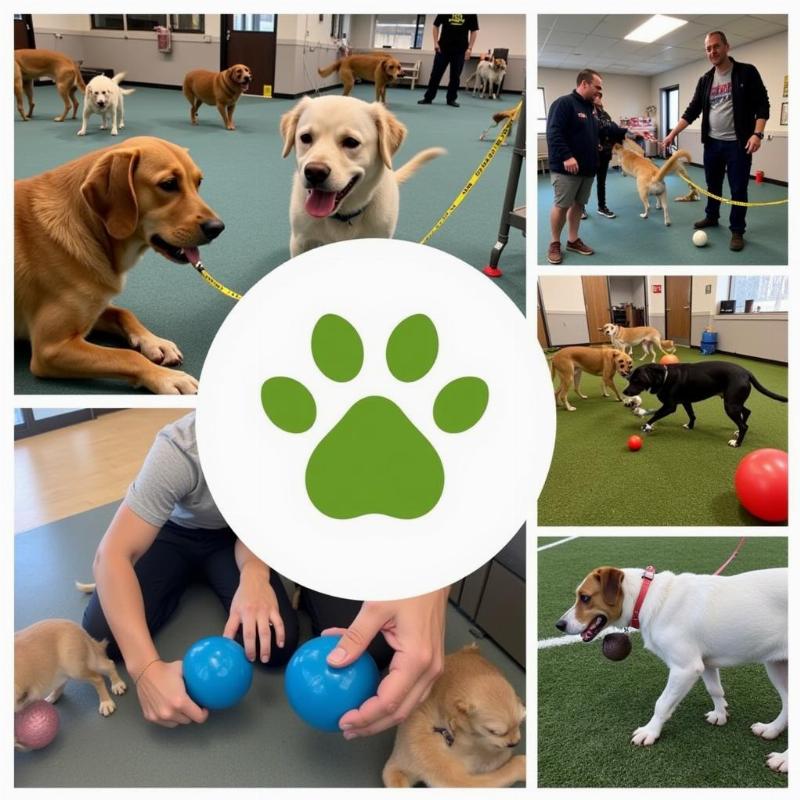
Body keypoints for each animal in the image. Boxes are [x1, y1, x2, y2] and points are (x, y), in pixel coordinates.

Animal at [14, 137, 225, 394]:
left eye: (199, 182)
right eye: (169, 184)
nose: (218, 228)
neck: (88, 227)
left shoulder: (95, 307)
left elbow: (123, 312)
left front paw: (154, 342)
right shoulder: (50, 348)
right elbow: (127, 356)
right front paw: (167, 378)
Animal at [556, 564, 788, 772]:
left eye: (585, 598)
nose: (559, 625)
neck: (647, 598)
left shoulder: (685, 668)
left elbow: (662, 704)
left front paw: (650, 731)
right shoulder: (704, 663)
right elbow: (715, 690)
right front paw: (720, 714)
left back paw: (784, 760)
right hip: (777, 665)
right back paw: (771, 729)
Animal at [620, 364, 784, 446]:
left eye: (637, 380)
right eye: (630, 378)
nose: (624, 392)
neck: (664, 376)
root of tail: (746, 373)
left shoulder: (670, 406)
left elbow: (655, 414)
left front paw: (646, 425)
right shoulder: (686, 401)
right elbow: (692, 415)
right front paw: (690, 426)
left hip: (730, 405)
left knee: (744, 425)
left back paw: (737, 442)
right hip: (734, 402)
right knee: (747, 412)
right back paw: (737, 432)